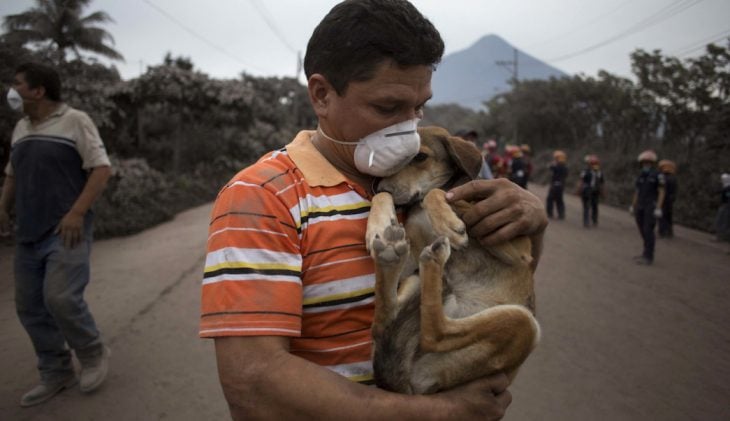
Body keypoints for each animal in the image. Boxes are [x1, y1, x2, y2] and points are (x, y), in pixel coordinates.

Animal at [366, 125, 536, 394]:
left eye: (420, 157)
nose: (380, 187)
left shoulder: (517, 250)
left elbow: (439, 193)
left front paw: (448, 221)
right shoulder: (411, 259)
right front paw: (379, 223)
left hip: (525, 325)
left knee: (435, 334)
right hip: (415, 281)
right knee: (388, 322)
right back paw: (394, 256)